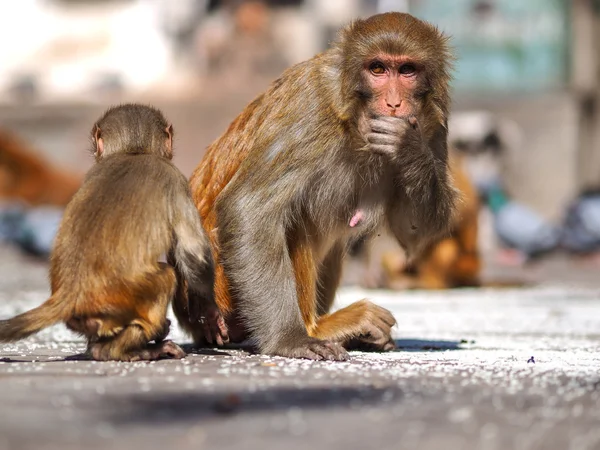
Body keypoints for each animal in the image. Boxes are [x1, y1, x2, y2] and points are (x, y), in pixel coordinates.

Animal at [0, 103, 227, 360]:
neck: (133, 152)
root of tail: (72, 291)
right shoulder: (176, 178)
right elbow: (193, 252)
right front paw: (210, 313)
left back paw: (103, 348)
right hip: (126, 295)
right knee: (167, 276)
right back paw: (134, 346)